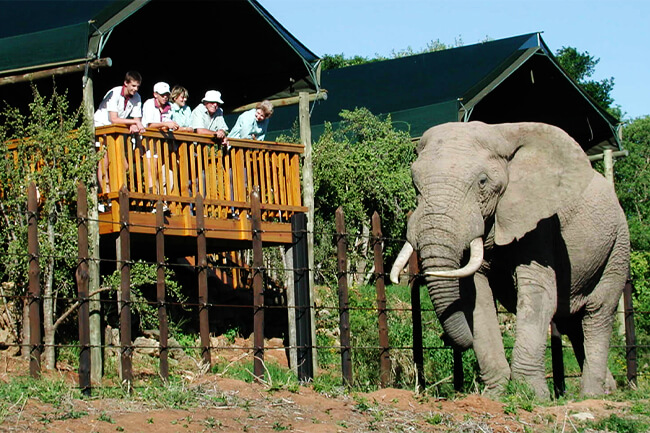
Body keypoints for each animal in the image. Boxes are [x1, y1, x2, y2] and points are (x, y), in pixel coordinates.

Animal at [390, 120, 628, 398]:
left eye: (482, 181)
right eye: (414, 182)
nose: (444, 339)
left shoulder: (540, 221)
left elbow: (537, 296)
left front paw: (532, 396)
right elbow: (476, 297)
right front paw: (496, 395)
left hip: (617, 245)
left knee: (598, 312)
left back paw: (591, 395)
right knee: (572, 322)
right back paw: (607, 390)